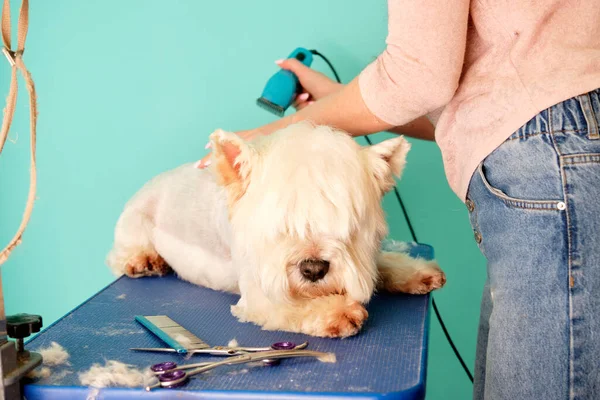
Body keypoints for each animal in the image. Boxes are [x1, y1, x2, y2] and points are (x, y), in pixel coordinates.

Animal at [106, 122, 446, 338]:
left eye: (345, 225)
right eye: (280, 226)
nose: (313, 269)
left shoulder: (363, 261)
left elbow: (380, 265)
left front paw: (415, 272)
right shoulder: (259, 292)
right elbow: (292, 305)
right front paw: (336, 312)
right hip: (135, 223)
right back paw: (144, 260)